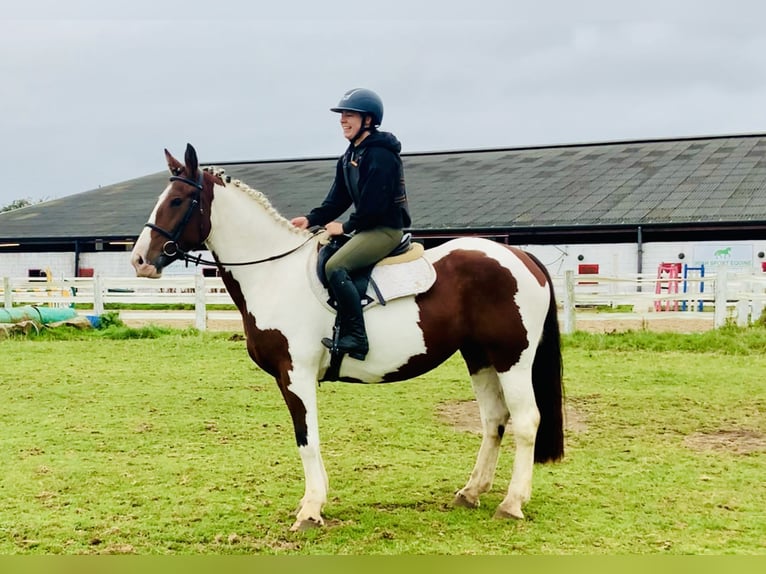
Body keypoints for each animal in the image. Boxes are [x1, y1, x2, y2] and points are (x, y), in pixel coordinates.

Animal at [130, 146, 564, 532]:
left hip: (512, 358)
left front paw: (310, 511)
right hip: (480, 357)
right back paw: (471, 492)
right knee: (494, 420)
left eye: (178, 200)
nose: (139, 260)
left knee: (526, 420)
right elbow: (309, 439)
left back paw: (511, 504)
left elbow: (307, 438)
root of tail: (522, 257)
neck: (273, 273)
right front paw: (314, 503)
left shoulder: (296, 375)